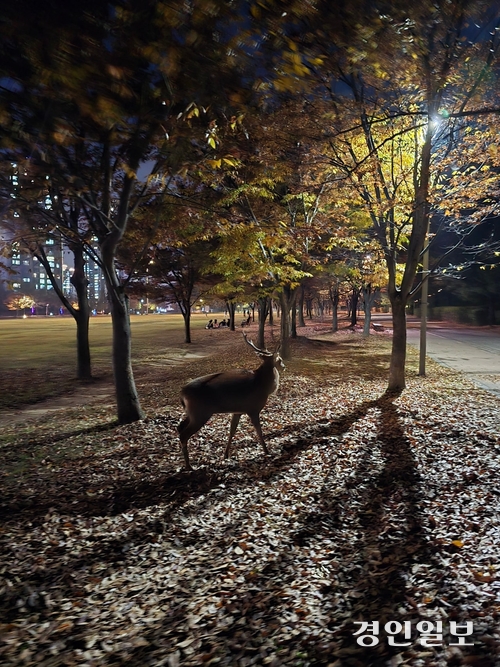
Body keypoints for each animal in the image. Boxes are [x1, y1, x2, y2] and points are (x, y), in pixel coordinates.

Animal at [178, 332, 284, 470]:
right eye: (279, 359)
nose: (284, 366)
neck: (262, 385)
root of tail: (182, 393)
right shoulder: (253, 408)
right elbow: (259, 431)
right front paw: (267, 451)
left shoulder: (237, 411)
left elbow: (232, 431)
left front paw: (226, 455)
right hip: (200, 413)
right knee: (183, 434)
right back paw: (189, 466)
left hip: (192, 413)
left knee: (179, 427)